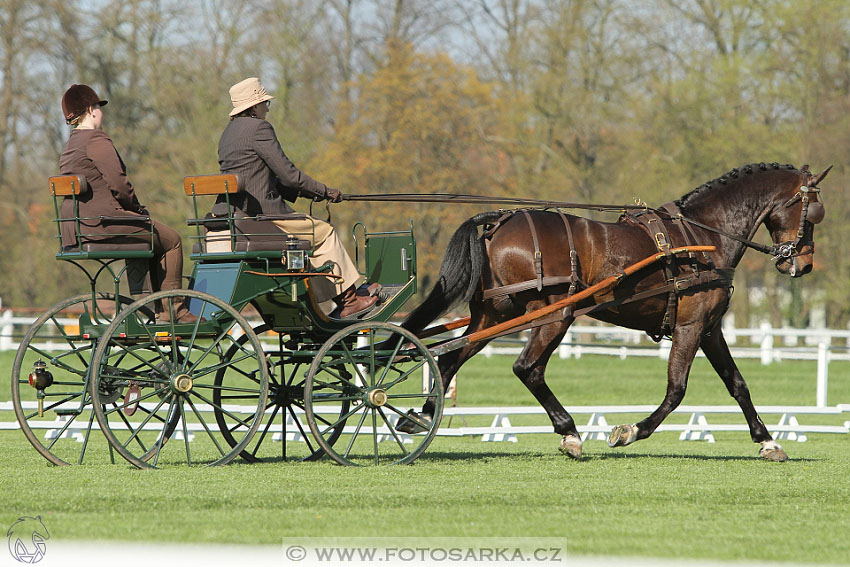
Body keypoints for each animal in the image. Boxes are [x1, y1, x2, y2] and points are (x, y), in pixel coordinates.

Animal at [400, 163, 828, 462]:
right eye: (812, 213)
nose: (804, 264)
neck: (702, 237)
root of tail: (500, 221)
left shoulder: (709, 329)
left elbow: (737, 384)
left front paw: (767, 441)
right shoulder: (690, 327)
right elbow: (677, 389)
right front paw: (631, 430)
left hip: (494, 315)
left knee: (451, 357)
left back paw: (421, 414)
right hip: (555, 315)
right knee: (527, 368)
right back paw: (569, 432)